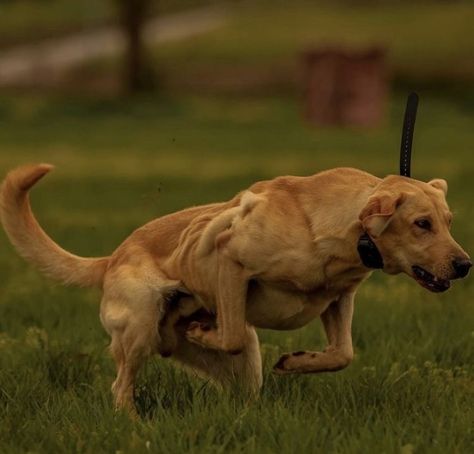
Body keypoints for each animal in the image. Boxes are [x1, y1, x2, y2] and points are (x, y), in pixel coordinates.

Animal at [0, 164, 468, 414]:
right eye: (422, 223)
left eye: (448, 221)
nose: (465, 265)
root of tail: (112, 256)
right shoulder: (229, 258)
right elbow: (229, 334)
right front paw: (205, 329)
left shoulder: (338, 300)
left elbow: (342, 354)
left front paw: (297, 362)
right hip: (140, 327)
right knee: (121, 387)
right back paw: (133, 420)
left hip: (245, 365)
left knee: (239, 390)